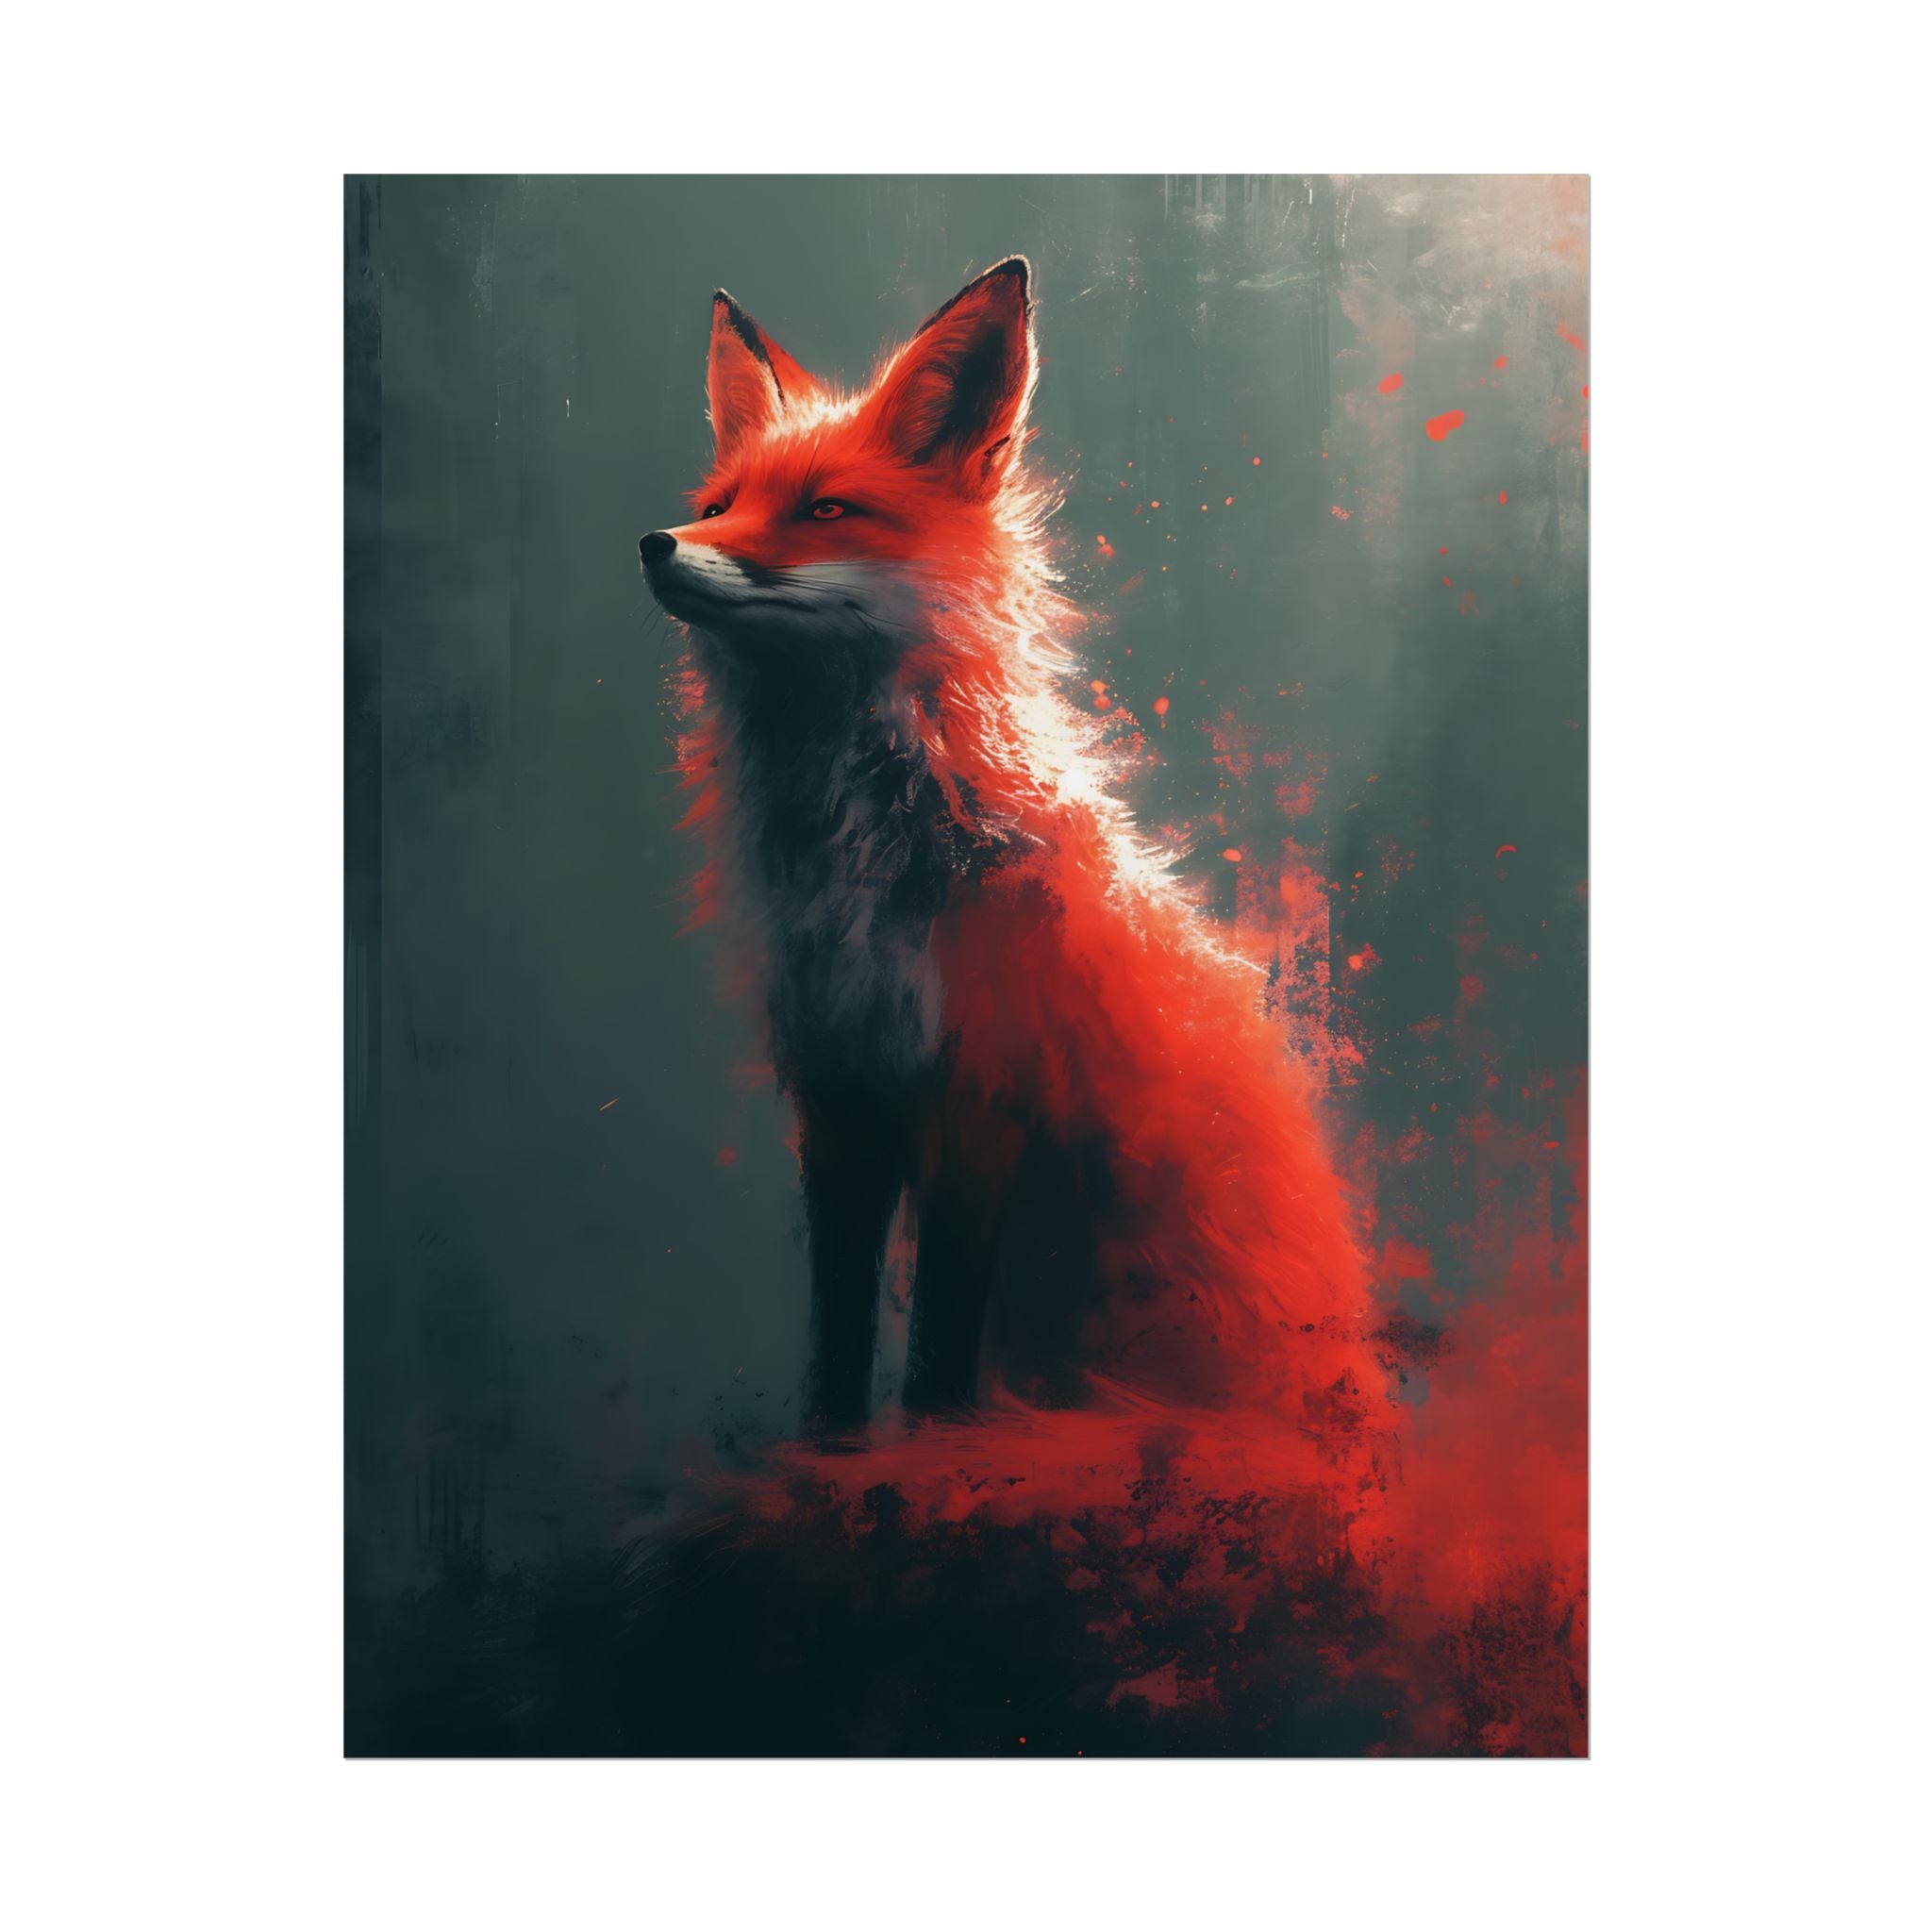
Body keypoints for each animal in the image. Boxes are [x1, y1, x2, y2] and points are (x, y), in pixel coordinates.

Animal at [640, 257, 1389, 1444]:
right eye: (720, 507)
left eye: (824, 509)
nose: (657, 543)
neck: (862, 865)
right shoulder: (837, 1092)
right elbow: (837, 1327)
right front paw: (828, 1449)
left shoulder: (982, 1091)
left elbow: (940, 1339)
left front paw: (932, 1447)